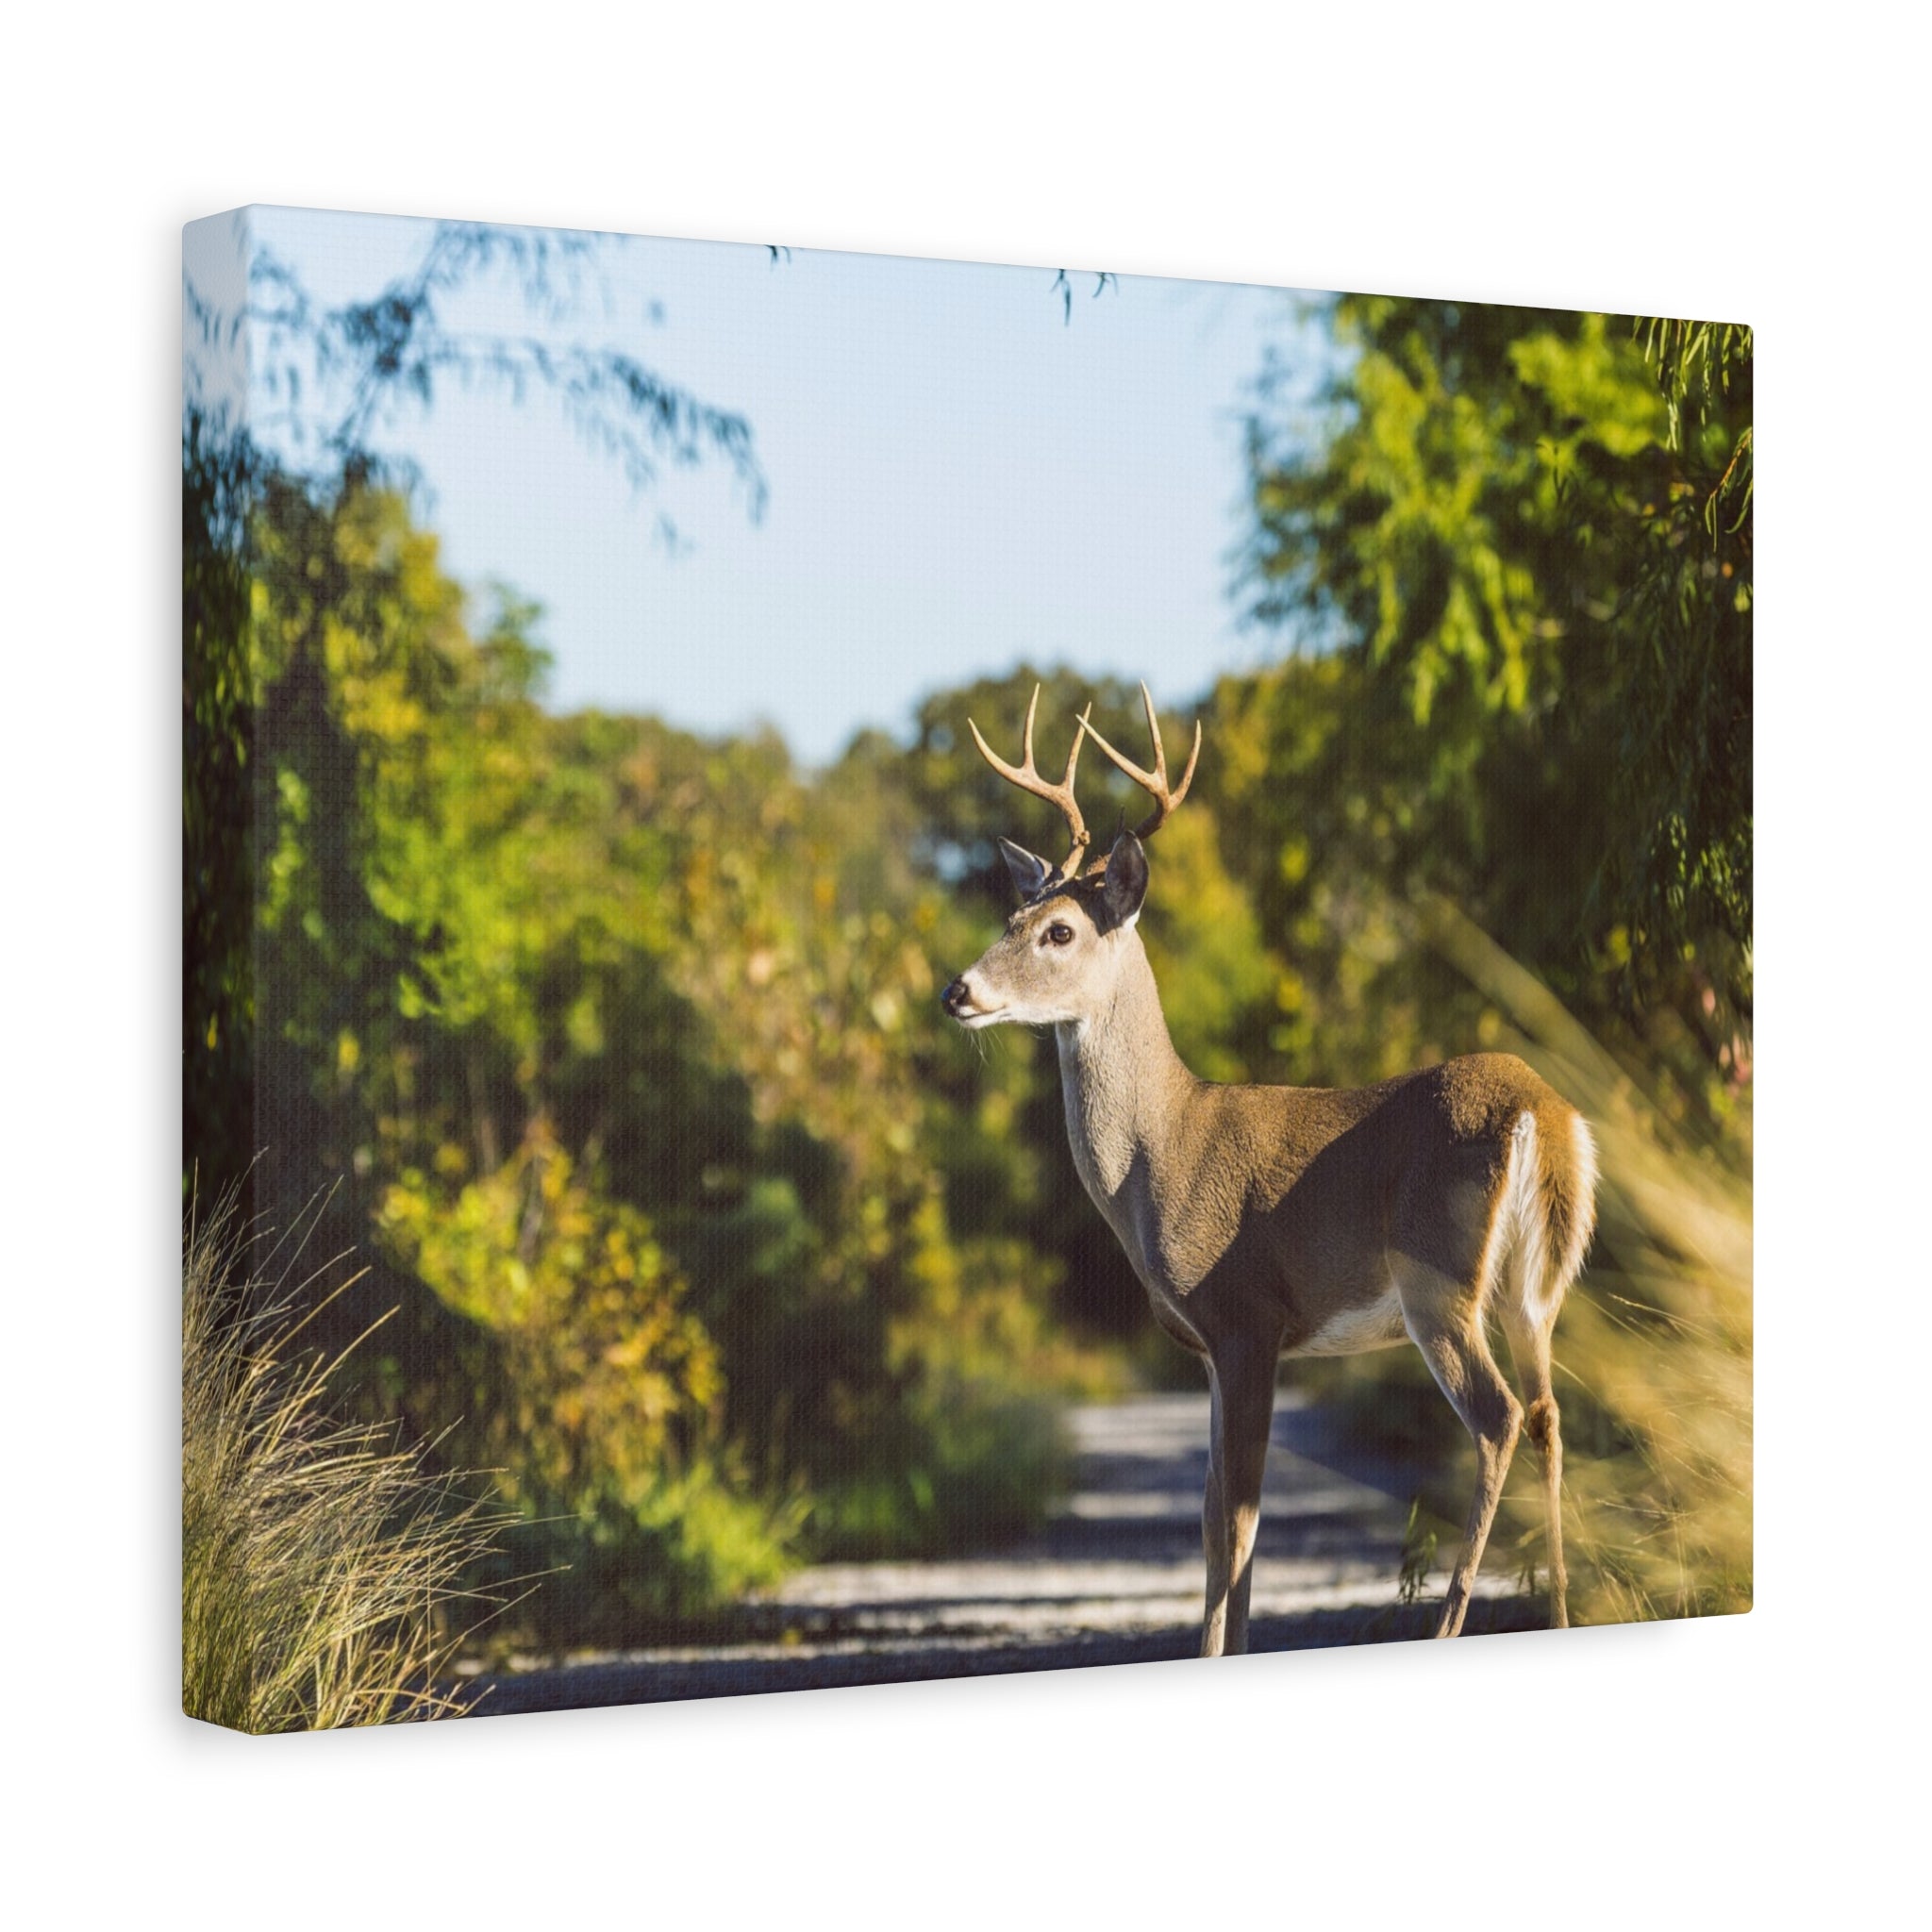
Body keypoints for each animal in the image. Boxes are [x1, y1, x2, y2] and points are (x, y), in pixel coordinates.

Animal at [940, 684, 1598, 1656]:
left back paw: (1447, 1627)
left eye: (1059, 931)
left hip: (1436, 1274)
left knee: (1499, 1417)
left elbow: (1241, 1516)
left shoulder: (1246, 1315)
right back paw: (1557, 1615)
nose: (958, 992)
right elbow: (1214, 1516)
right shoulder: (1216, 1348)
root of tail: (1542, 1115)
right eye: (1009, 920)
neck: (1160, 1151)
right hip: (1536, 1285)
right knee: (1550, 1416)